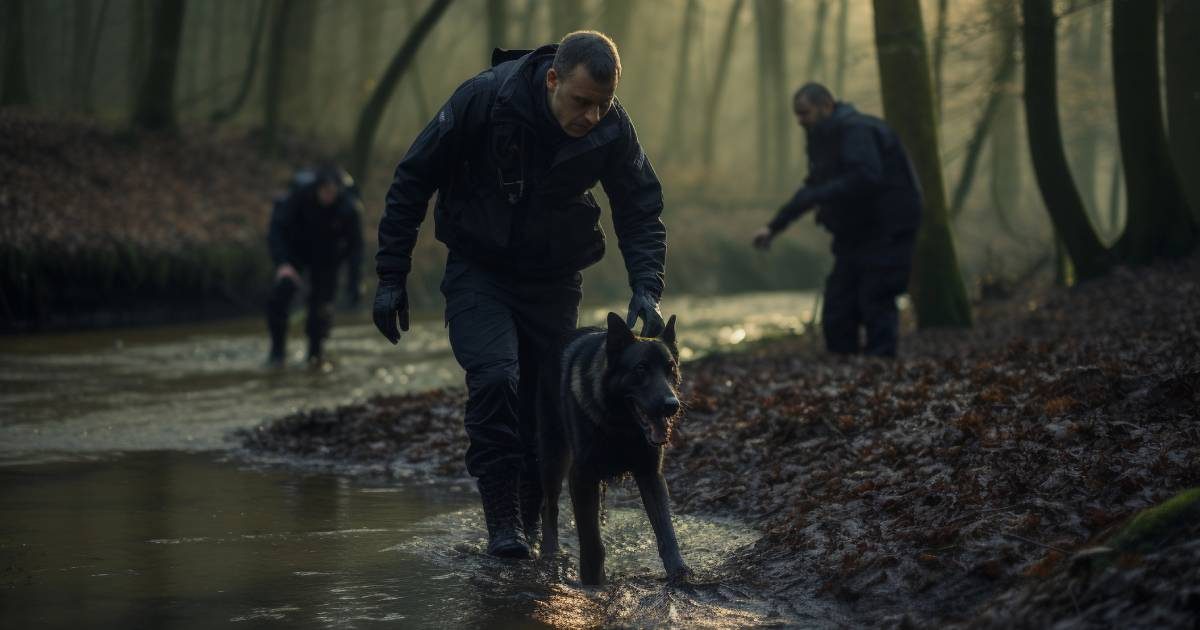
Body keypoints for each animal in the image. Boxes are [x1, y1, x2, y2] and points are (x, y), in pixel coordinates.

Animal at [537, 312, 696, 583]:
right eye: (641, 368)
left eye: (671, 368)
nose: (671, 405)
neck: (621, 427)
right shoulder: (582, 477)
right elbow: (591, 540)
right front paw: (593, 582)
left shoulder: (651, 475)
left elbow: (666, 530)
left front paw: (678, 571)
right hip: (553, 461)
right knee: (549, 507)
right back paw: (551, 554)